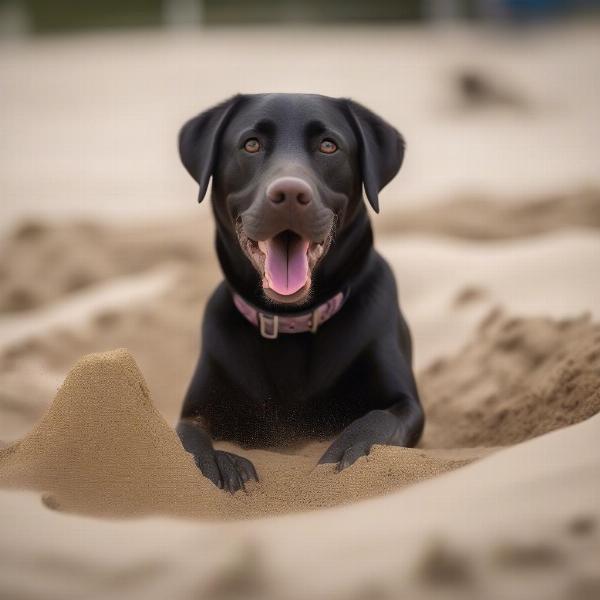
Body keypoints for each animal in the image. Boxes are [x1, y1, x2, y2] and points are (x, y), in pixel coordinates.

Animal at [176, 94, 424, 492]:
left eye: (328, 146)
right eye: (251, 145)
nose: (290, 193)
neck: (290, 321)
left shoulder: (405, 402)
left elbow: (376, 423)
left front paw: (341, 457)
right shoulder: (196, 408)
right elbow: (187, 437)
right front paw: (217, 461)